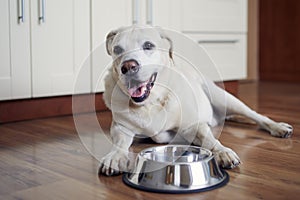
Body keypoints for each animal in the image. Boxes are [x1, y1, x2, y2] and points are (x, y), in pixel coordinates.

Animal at [99, 24, 292, 175]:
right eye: (117, 50)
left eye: (148, 45)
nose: (128, 66)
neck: (152, 103)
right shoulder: (121, 127)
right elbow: (119, 142)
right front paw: (115, 156)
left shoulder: (193, 125)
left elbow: (210, 140)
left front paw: (222, 152)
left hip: (225, 99)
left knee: (258, 116)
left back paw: (278, 127)